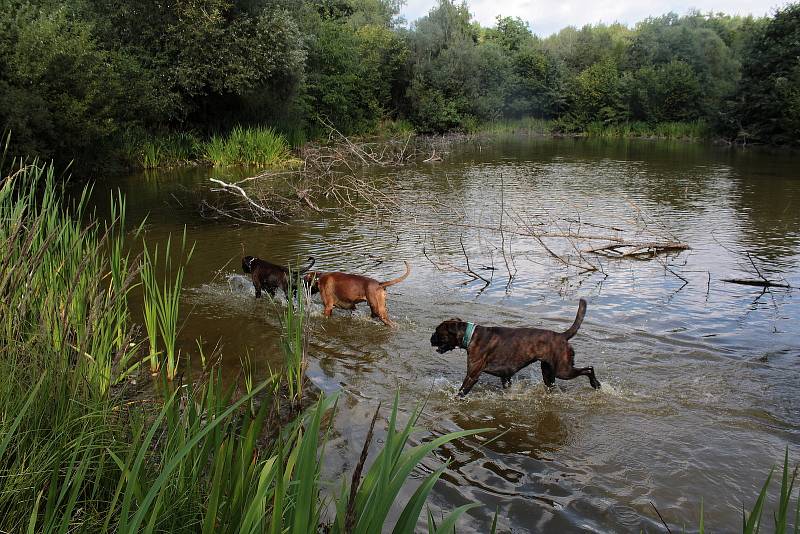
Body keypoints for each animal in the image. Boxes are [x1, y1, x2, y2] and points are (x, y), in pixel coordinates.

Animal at [432, 302, 600, 398]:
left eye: (438, 332)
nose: (430, 338)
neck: (471, 335)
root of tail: (561, 335)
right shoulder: (505, 376)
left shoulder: (472, 376)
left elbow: (461, 391)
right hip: (548, 373)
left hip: (563, 371)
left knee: (589, 368)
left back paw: (596, 384)